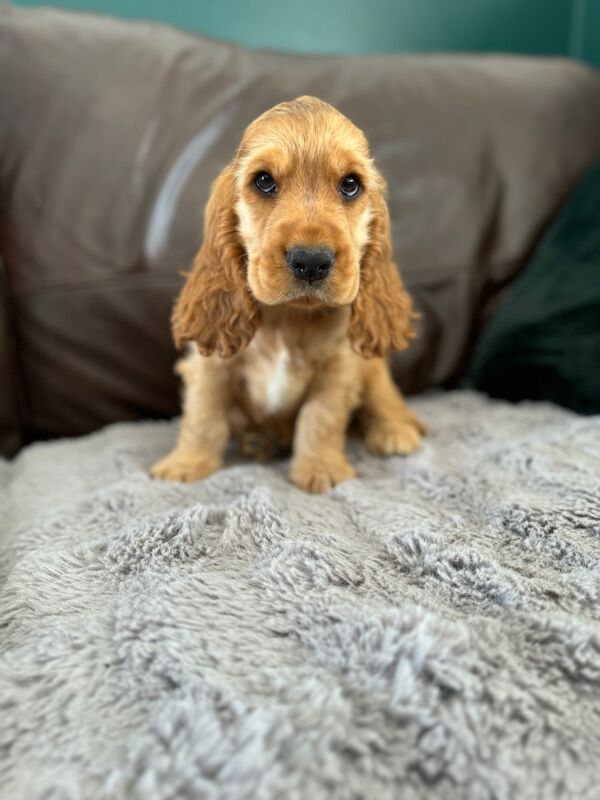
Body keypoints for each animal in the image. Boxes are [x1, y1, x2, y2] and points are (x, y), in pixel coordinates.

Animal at [155, 96, 426, 490]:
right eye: (264, 181)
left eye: (350, 185)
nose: (311, 261)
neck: (288, 317)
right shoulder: (211, 365)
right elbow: (203, 417)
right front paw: (186, 464)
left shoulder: (339, 368)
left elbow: (321, 418)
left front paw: (320, 468)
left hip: (371, 366)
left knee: (385, 395)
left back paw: (396, 432)